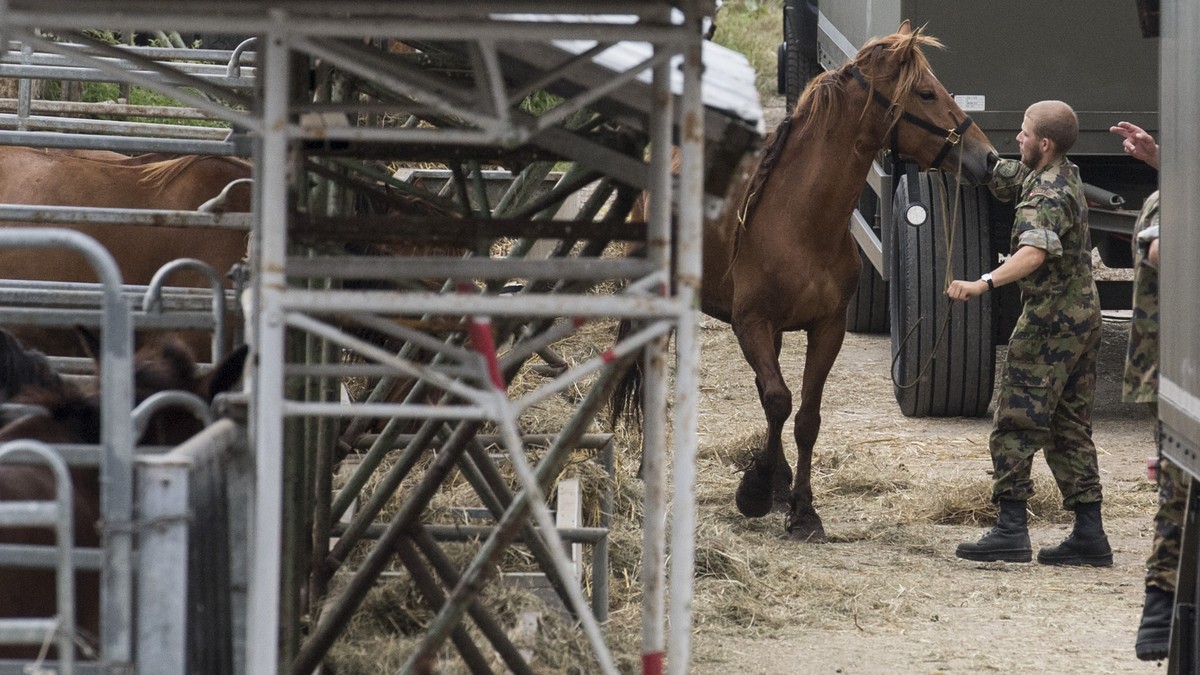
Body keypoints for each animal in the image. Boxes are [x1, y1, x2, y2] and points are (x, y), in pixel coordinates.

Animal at [615, 22, 997, 541]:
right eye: (925, 93)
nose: (989, 157)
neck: (800, 219)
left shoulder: (826, 328)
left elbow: (804, 417)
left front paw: (799, 507)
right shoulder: (751, 324)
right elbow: (779, 400)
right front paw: (756, 490)